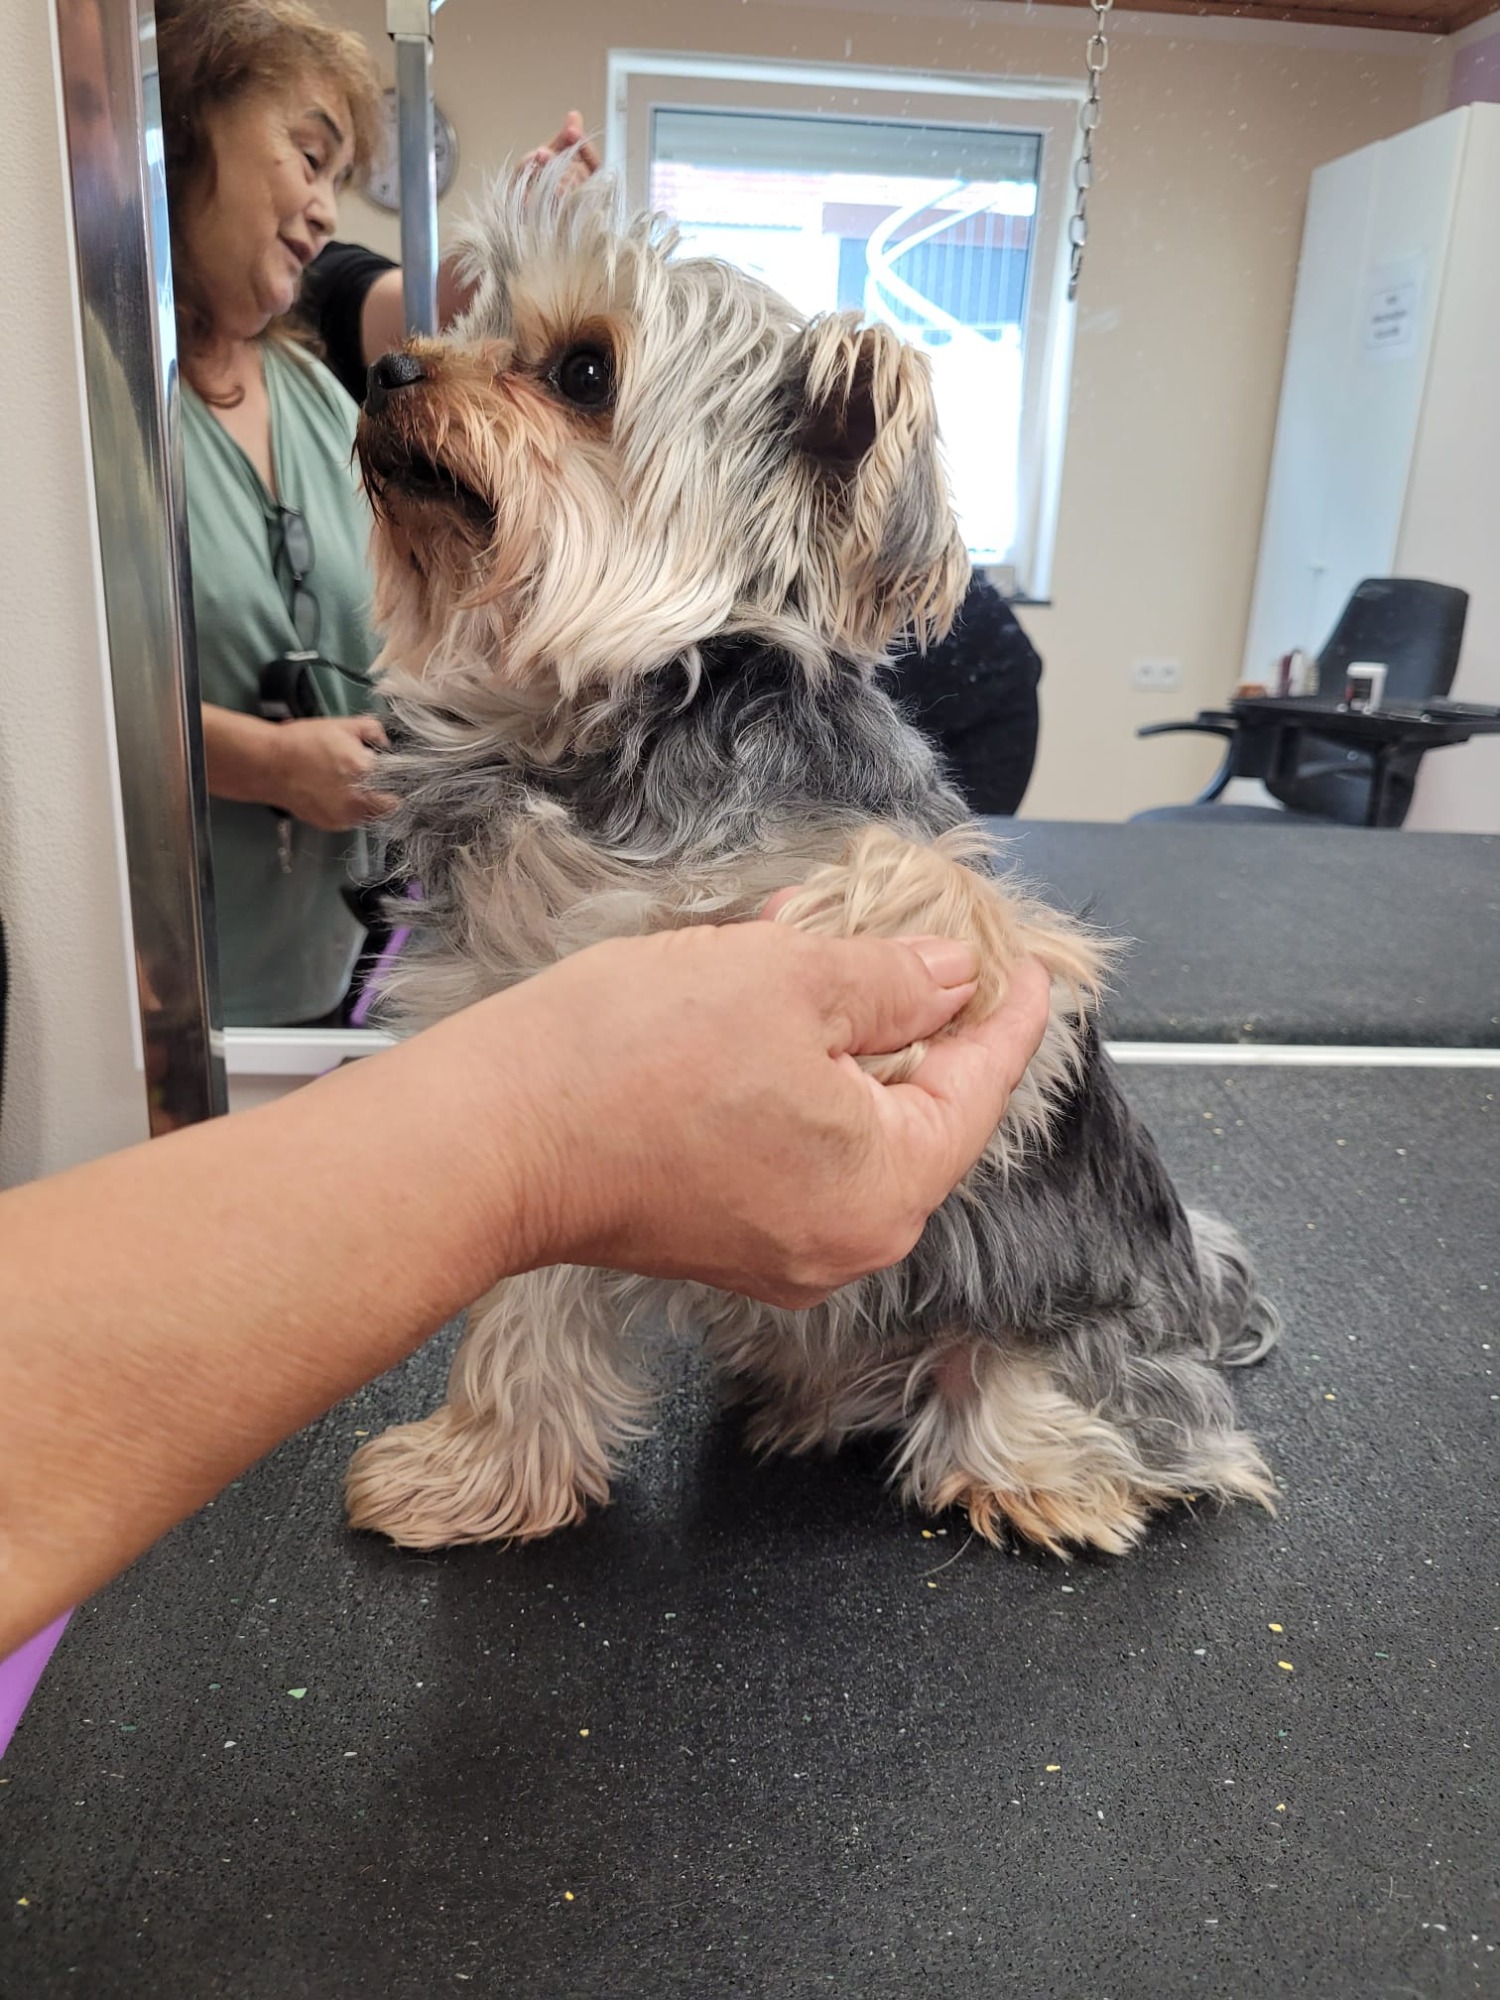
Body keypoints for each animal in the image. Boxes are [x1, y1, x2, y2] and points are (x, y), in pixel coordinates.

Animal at [345, 162, 1279, 1559]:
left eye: (582, 370)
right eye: (465, 320)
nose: (386, 365)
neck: (612, 737)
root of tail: (1191, 1285)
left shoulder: (1009, 938)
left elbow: (945, 904)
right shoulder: (517, 1027)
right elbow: (523, 1301)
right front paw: (479, 1468)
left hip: (1063, 1322)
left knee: (1125, 1417)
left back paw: (1042, 1472)